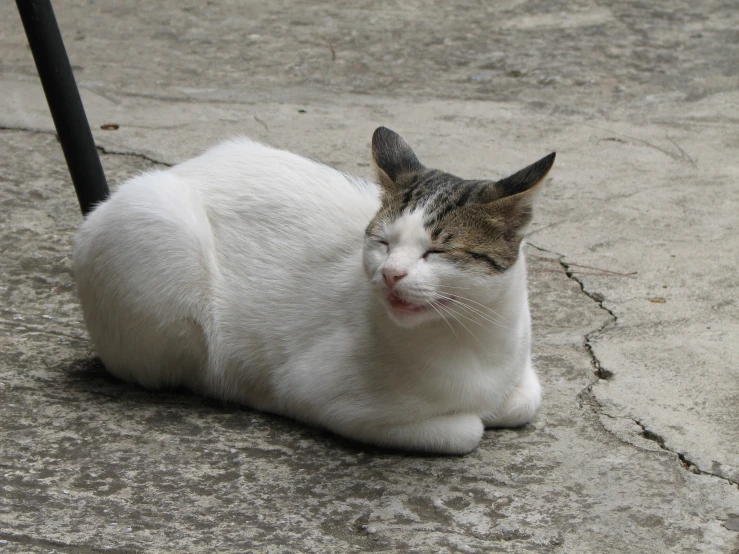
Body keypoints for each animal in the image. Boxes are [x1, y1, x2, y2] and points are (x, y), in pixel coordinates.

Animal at [72, 126, 556, 452]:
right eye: (383, 243)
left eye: (435, 251)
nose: (391, 274)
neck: (471, 341)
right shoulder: (323, 396)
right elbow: (467, 430)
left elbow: (525, 401)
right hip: (159, 229)